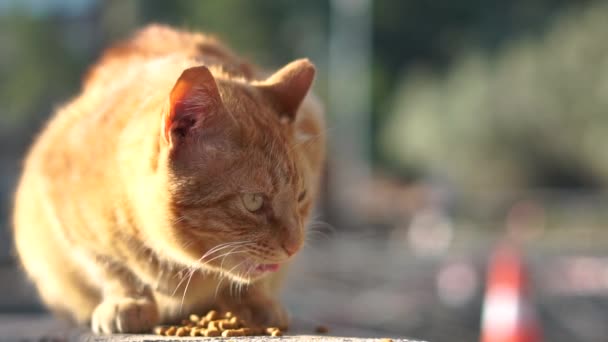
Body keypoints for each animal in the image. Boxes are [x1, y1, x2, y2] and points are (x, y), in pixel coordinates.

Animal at [13, 24, 324, 334]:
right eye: (253, 202)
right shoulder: (63, 201)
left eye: (301, 197)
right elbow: (111, 268)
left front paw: (255, 303)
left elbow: (253, 282)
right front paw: (128, 300)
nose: (295, 246)